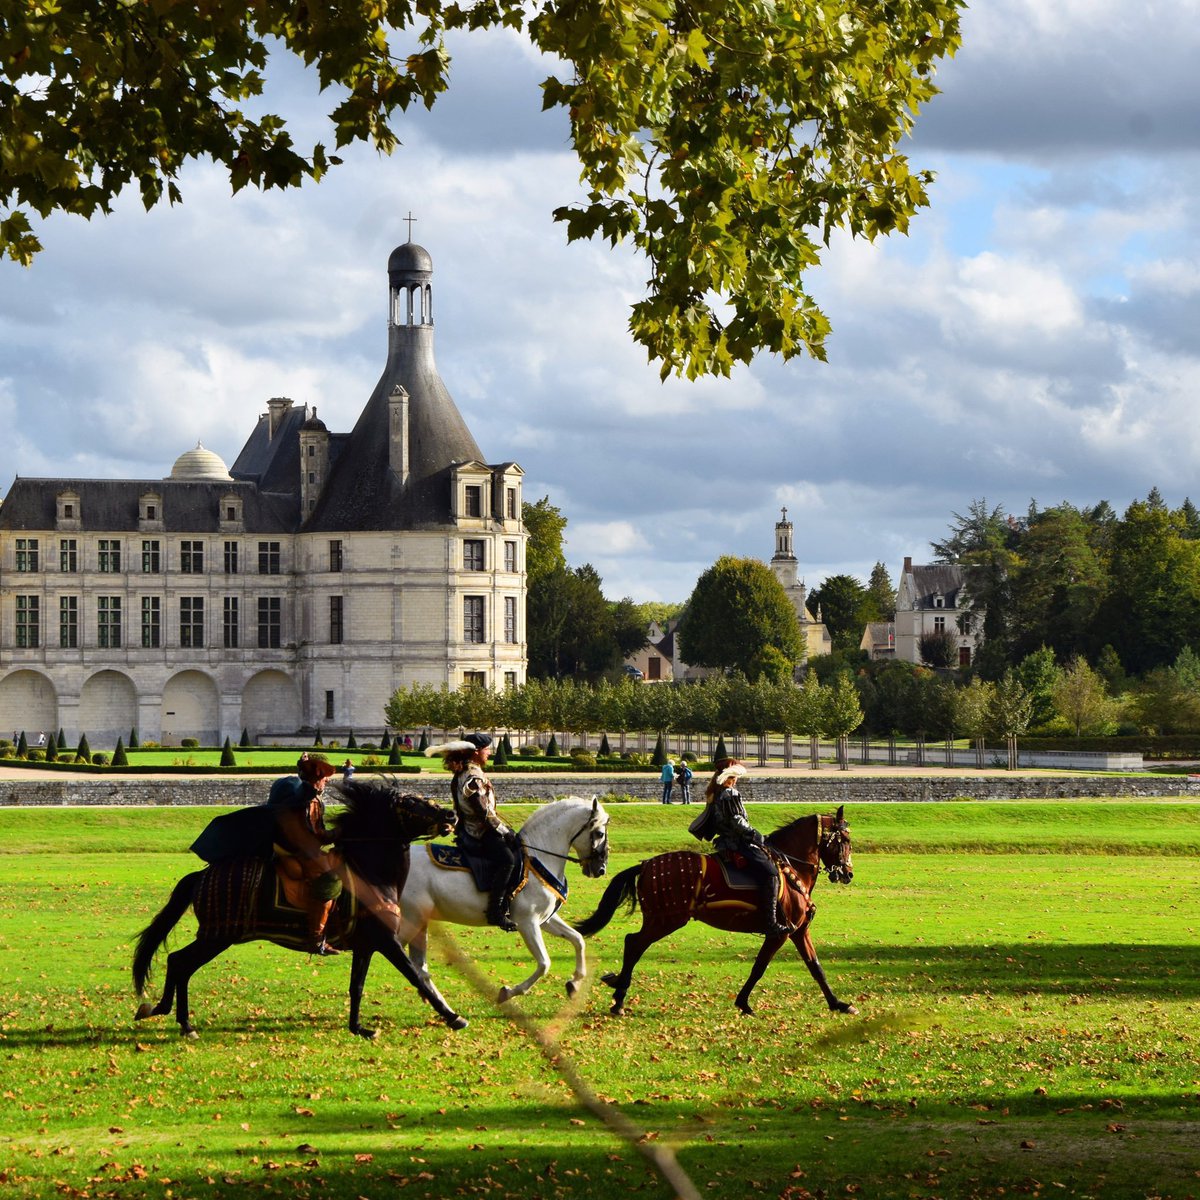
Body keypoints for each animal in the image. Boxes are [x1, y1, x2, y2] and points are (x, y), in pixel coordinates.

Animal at [133, 782, 465, 1036]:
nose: (450, 813)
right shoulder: (385, 940)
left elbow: (356, 986)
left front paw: (358, 1027)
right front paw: (454, 1017)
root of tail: (202, 875)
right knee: (179, 962)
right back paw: (178, 1019)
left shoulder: (365, 945)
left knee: (179, 963)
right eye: (411, 802)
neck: (370, 871)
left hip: (216, 935)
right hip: (219, 935)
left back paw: (169, 1014)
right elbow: (414, 975)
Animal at [400, 801, 614, 1008]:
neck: (538, 858)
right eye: (600, 833)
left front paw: (575, 982)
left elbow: (578, 939)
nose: (601, 869)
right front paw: (509, 992)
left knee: (419, 967)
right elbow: (544, 963)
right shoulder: (527, 923)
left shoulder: (545, 921)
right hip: (411, 920)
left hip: (419, 923)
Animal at [571, 801, 854, 1017]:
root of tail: (646, 864)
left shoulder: (799, 931)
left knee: (633, 944)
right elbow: (760, 966)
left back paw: (617, 987)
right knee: (634, 944)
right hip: (666, 920)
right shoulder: (780, 933)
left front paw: (838, 1003)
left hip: (661, 920)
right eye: (845, 840)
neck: (791, 867)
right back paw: (619, 996)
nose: (848, 873)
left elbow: (815, 966)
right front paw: (743, 1003)